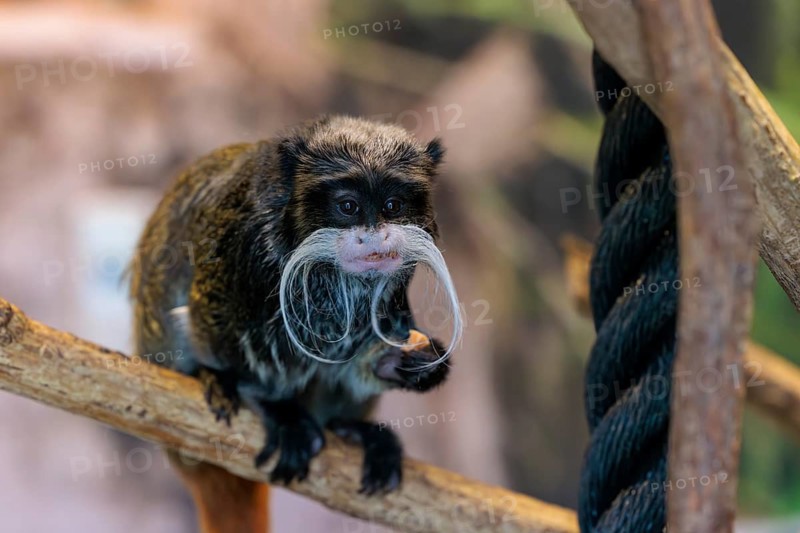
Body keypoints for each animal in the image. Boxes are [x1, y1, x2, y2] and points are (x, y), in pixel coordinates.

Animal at [129, 115, 462, 532]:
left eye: (392, 205)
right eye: (348, 206)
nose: (375, 237)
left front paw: (405, 365)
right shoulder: (242, 241)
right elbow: (213, 321)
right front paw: (271, 407)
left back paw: (349, 428)